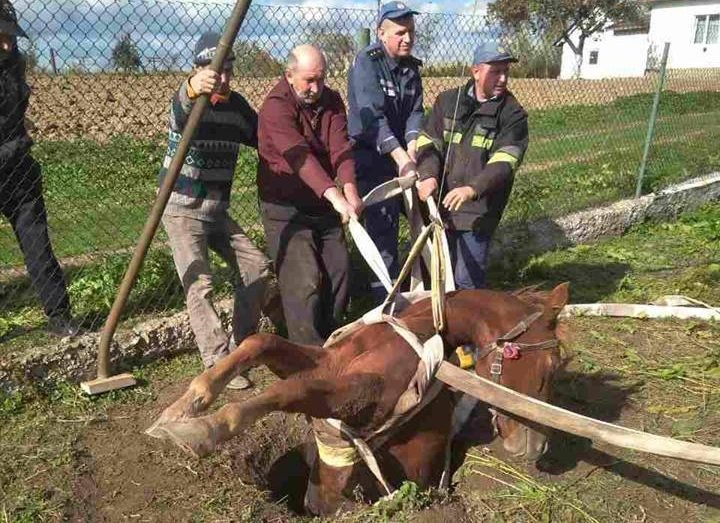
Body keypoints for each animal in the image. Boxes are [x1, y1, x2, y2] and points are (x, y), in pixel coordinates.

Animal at [146, 282, 568, 516]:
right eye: (551, 368)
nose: (538, 447)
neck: (414, 331)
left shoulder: (364, 398)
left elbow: (291, 390)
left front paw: (203, 430)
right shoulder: (326, 364)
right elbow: (259, 342)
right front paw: (183, 408)